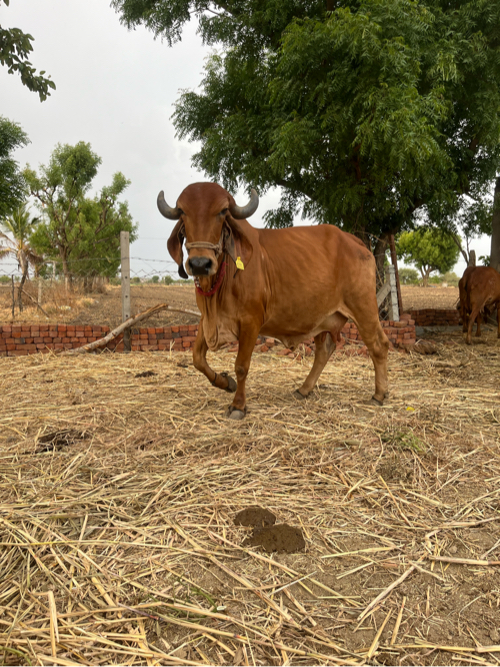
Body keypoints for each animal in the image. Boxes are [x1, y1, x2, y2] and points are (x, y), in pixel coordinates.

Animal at [158, 183, 388, 420]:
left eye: (222, 212)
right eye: (183, 212)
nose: (200, 264)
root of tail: (356, 241)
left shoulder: (251, 322)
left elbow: (241, 366)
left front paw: (238, 405)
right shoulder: (208, 319)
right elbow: (197, 359)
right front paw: (225, 383)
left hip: (364, 309)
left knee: (379, 345)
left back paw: (379, 394)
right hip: (323, 318)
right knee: (324, 351)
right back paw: (303, 389)